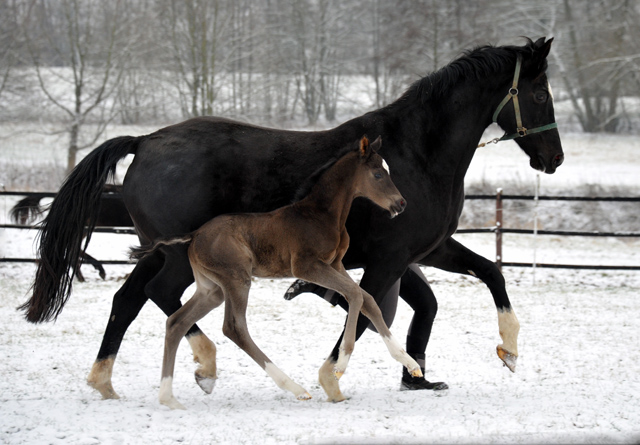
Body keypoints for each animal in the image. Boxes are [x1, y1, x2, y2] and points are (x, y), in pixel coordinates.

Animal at [20, 38, 564, 398]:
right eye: (540, 94)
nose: (553, 158)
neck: (418, 153)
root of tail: (145, 140)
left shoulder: (425, 251)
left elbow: (483, 276)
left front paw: (502, 352)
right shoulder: (389, 259)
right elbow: (363, 310)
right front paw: (331, 375)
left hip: (159, 250)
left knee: (129, 299)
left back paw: (107, 379)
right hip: (179, 256)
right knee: (161, 297)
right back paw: (204, 366)